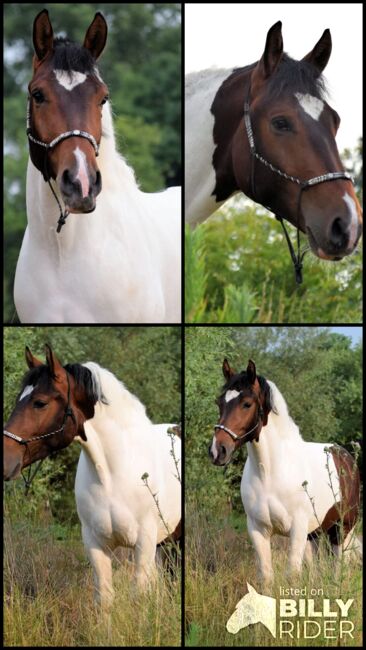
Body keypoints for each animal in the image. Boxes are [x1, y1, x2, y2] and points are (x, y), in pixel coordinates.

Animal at [2, 344, 180, 608]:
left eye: (40, 403)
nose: (5, 459)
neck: (113, 474)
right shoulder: (95, 545)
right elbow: (104, 599)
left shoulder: (144, 544)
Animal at [209, 360, 360, 584]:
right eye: (220, 403)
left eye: (247, 404)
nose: (217, 451)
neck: (269, 473)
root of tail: (345, 456)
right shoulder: (258, 530)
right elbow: (266, 576)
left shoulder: (297, 530)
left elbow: (292, 575)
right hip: (314, 534)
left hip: (342, 529)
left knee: (338, 566)